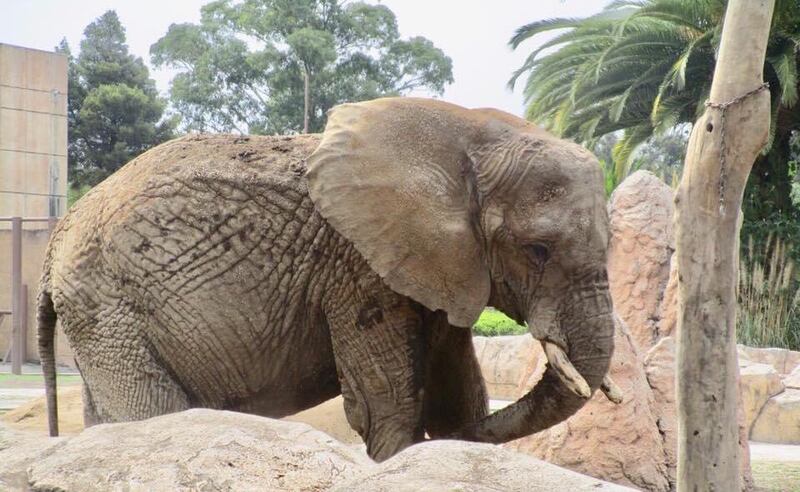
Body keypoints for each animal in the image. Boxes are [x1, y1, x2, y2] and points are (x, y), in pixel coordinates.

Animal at [37, 97, 620, 462]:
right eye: (538, 250)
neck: (468, 132)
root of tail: (55, 241)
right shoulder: (356, 267)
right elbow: (387, 403)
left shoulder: (445, 265)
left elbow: (457, 393)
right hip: (107, 307)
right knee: (150, 411)